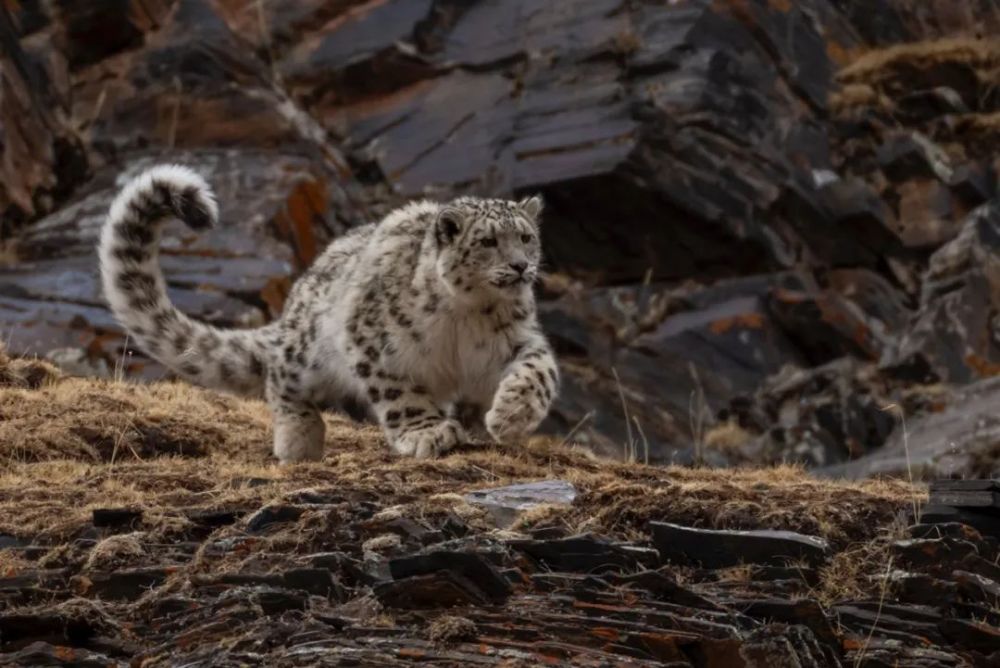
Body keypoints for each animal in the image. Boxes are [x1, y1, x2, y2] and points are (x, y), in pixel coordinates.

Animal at [97, 164, 560, 462]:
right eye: (487, 242)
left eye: (526, 237)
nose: (521, 266)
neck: (468, 315)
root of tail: (294, 303)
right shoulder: (373, 342)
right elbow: (401, 395)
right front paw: (428, 433)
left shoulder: (516, 339)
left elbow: (538, 371)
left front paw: (511, 415)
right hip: (307, 354)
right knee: (280, 377)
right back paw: (299, 438)